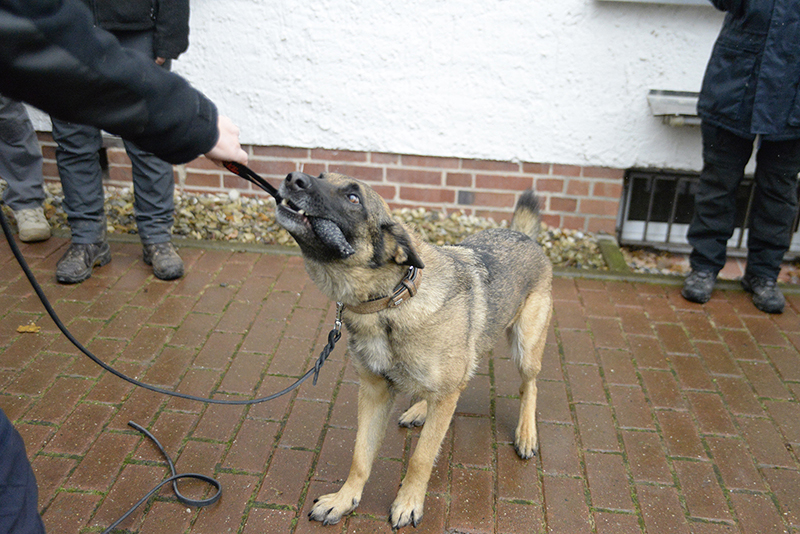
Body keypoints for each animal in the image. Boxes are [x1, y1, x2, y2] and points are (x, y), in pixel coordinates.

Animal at [275, 171, 552, 529]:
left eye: (353, 198)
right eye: (321, 176)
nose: (293, 178)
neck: (392, 300)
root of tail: (521, 234)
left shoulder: (438, 395)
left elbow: (421, 458)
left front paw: (408, 503)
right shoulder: (374, 393)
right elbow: (360, 456)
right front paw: (344, 499)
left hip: (525, 348)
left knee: (529, 386)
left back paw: (526, 433)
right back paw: (421, 409)